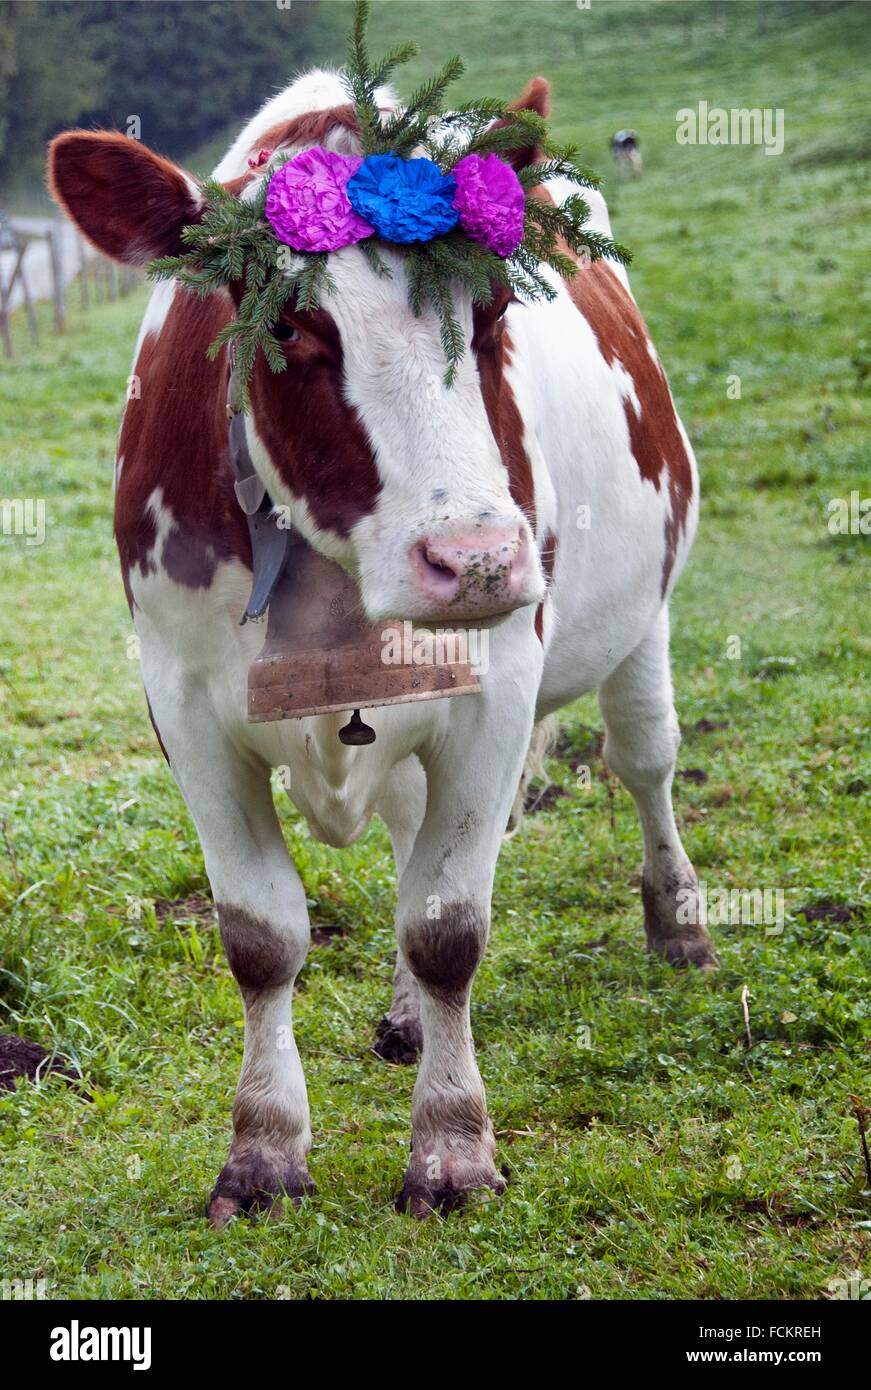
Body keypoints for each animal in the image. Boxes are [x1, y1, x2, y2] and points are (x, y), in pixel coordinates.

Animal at [48, 69, 717, 1225]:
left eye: (492, 314)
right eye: (294, 330)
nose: (479, 560)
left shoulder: (496, 691)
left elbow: (447, 925)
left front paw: (452, 1147)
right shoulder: (182, 706)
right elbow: (262, 935)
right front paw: (263, 1150)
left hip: (645, 610)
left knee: (644, 760)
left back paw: (676, 922)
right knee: (410, 826)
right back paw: (404, 1017)